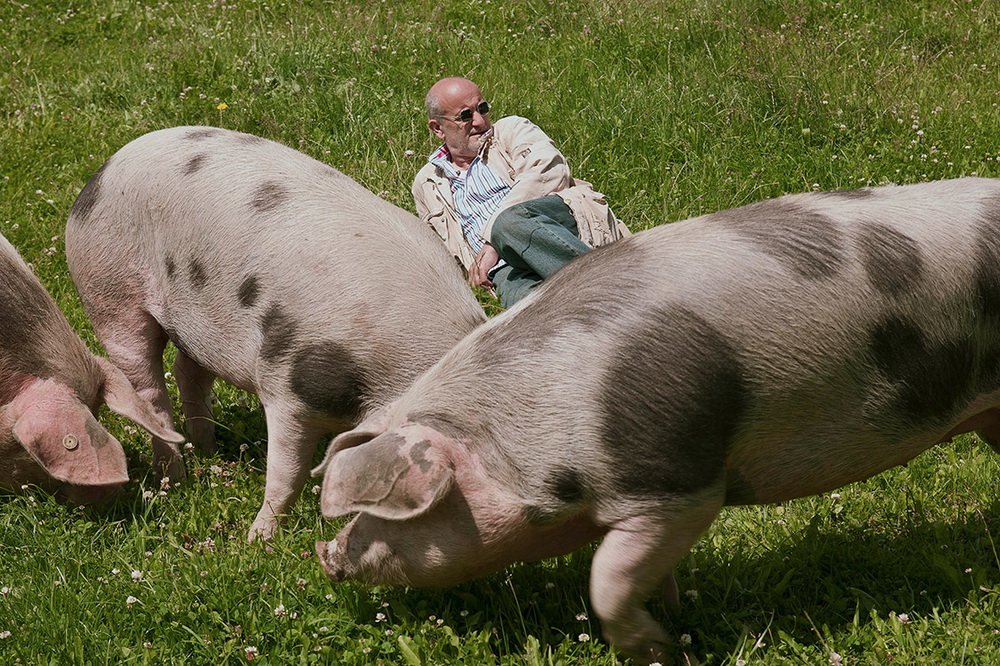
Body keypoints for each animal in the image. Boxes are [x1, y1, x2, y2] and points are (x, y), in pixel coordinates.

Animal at [63, 126, 488, 540]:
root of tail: (103, 171)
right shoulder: (287, 383)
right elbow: (286, 473)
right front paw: (259, 540)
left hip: (200, 321)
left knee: (189, 371)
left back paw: (209, 450)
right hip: (109, 292)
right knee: (147, 388)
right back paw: (175, 478)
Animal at [314, 178, 1000, 664]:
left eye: (396, 511)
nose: (324, 555)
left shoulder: (677, 479)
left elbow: (607, 580)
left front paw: (661, 650)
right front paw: (675, 612)